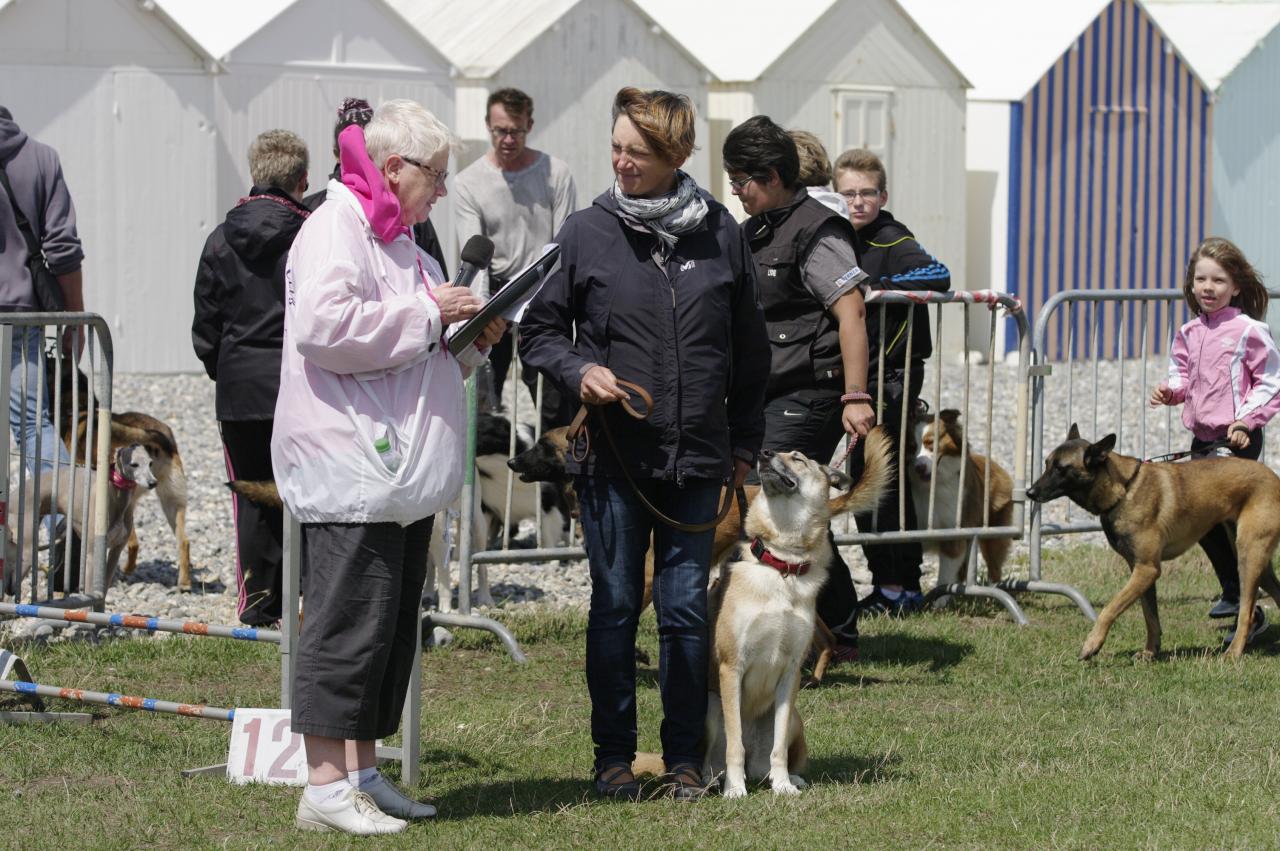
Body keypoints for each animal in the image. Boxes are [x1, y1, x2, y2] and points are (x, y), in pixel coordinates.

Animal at [1024, 422, 1280, 655]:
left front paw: (1092, 643)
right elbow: (1150, 616)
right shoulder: (1140, 570)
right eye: (1046, 464)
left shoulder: (1147, 569)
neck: (1123, 489)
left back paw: (1234, 652)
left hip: (1248, 557)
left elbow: (1111, 607)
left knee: (1246, 611)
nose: (1029, 492)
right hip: (1257, 563)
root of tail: (1275, 478)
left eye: (1061, 468)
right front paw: (1150, 651)